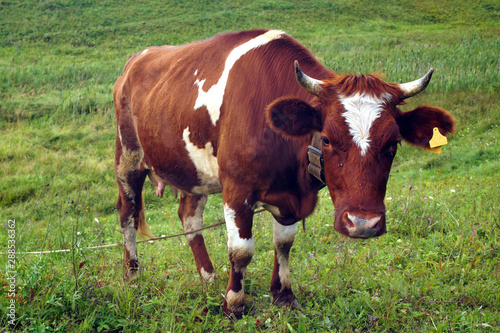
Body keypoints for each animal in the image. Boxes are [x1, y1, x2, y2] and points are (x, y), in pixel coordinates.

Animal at [112, 29, 454, 316]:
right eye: (327, 139)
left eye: (394, 143)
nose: (362, 224)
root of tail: (136, 59)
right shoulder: (236, 189)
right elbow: (241, 251)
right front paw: (234, 303)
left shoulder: (290, 197)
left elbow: (284, 243)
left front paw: (283, 295)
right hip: (128, 156)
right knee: (127, 214)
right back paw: (133, 277)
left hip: (193, 171)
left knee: (189, 217)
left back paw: (208, 277)